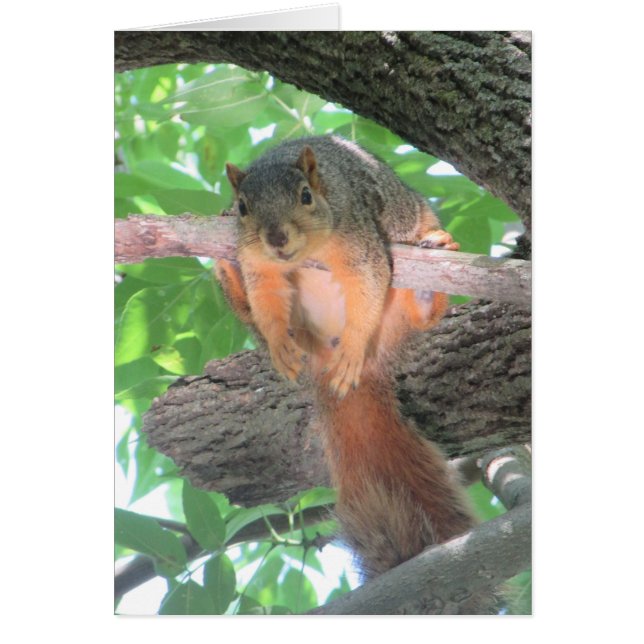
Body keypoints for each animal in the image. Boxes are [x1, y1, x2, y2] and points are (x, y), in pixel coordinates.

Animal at [216, 135, 492, 613]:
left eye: (306, 196)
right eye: (243, 207)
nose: (277, 238)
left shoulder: (358, 238)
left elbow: (367, 283)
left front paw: (355, 340)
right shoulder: (259, 264)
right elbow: (266, 299)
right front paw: (278, 343)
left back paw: (425, 283)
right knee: (251, 309)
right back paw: (226, 274)